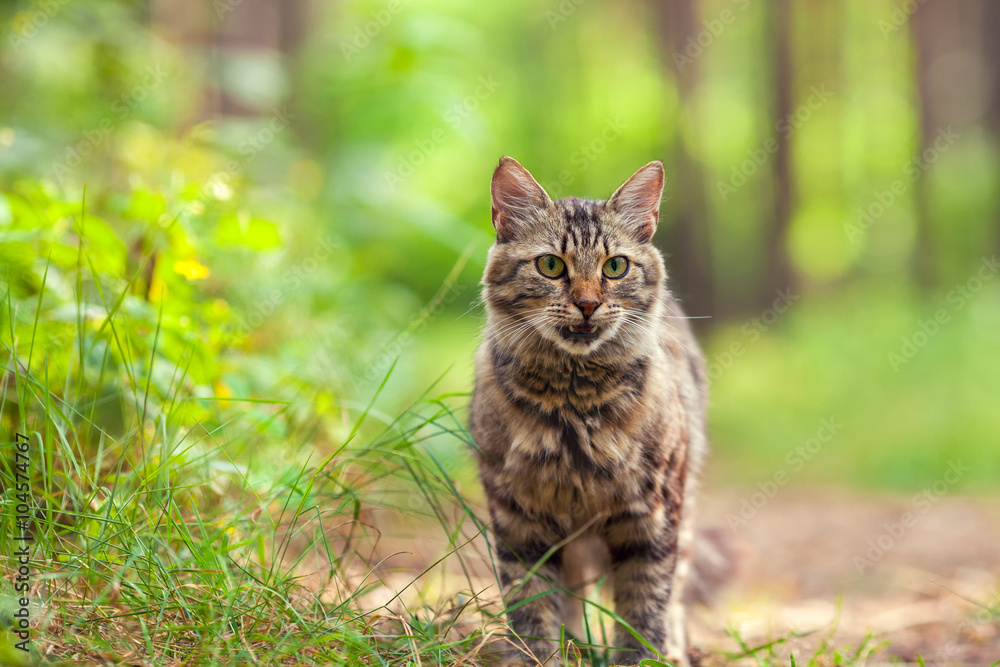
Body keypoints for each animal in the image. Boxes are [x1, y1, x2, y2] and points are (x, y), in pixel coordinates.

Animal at [468, 158, 712, 667]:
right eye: (551, 265)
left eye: (615, 267)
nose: (587, 303)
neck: (573, 406)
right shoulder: (519, 517)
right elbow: (532, 607)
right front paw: (539, 657)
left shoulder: (651, 515)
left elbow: (645, 610)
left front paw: (645, 657)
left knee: (675, 594)